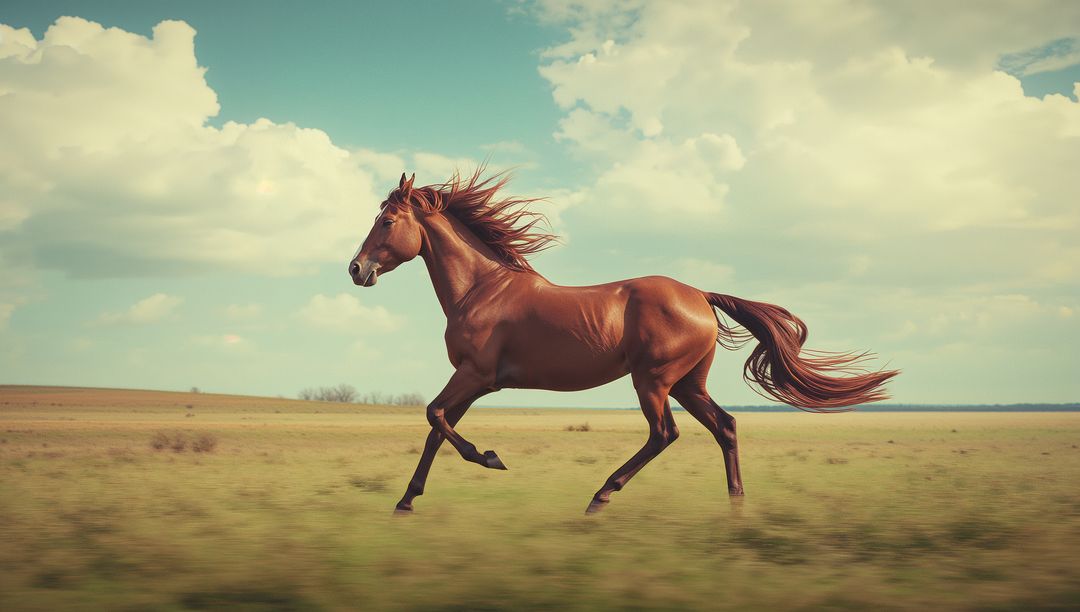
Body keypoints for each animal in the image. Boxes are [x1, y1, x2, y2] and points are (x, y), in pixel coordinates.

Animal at [348, 170, 898, 514]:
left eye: (387, 221)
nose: (356, 269)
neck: (482, 289)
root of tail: (700, 296)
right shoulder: (471, 380)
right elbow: (436, 428)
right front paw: (405, 501)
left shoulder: (477, 376)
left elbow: (435, 417)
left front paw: (490, 458)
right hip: (687, 384)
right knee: (725, 426)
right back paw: (735, 503)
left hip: (652, 381)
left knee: (664, 434)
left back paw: (601, 496)